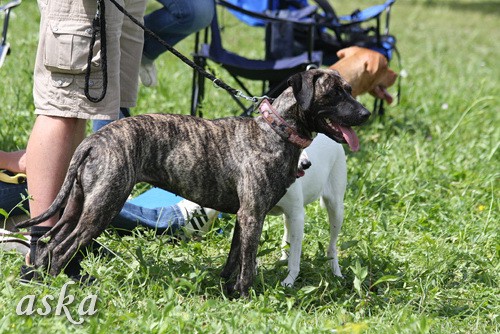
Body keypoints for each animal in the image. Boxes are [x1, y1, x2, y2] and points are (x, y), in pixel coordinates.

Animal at [17, 69, 370, 296]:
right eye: (334, 93)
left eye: (351, 89)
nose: (366, 114)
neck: (275, 131)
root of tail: (93, 141)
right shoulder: (252, 215)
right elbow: (248, 265)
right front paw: (246, 297)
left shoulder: (243, 217)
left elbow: (234, 259)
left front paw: (228, 292)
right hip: (104, 204)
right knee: (62, 248)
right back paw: (60, 289)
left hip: (79, 203)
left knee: (50, 242)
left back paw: (39, 279)